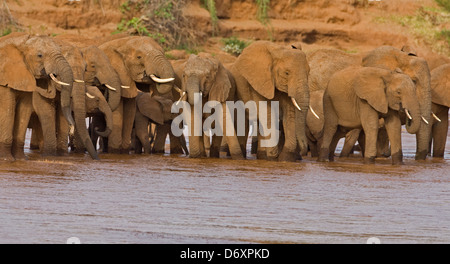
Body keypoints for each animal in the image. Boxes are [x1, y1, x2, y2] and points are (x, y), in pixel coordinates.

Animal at [0, 33, 74, 161]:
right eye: (40, 55)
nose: (72, 130)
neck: (20, 43)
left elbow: (24, 110)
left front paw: (21, 159)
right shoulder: (4, 81)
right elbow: (8, 111)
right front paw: (7, 160)